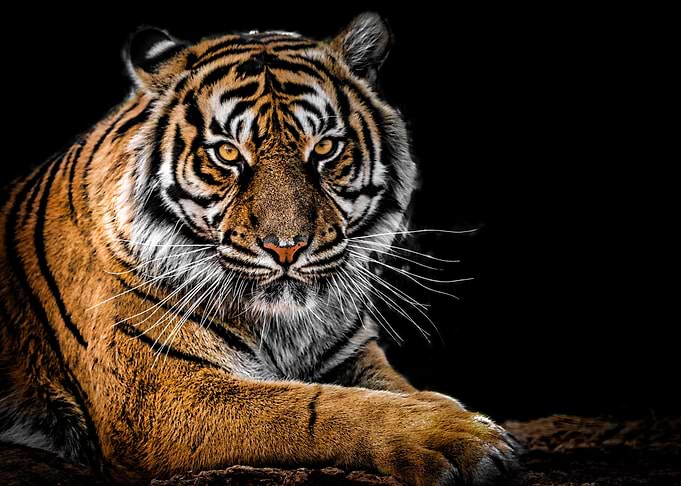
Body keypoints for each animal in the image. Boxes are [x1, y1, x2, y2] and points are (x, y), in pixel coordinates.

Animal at [0, 13, 520, 486]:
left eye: (325, 148)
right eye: (228, 153)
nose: (286, 248)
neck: (286, 326)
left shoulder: (351, 355)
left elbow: (399, 389)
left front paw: (459, 416)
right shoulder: (158, 397)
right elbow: (314, 408)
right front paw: (458, 436)